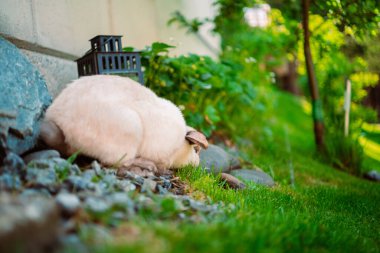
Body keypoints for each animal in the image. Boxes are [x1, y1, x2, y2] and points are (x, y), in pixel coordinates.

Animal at [40, 74, 208, 175]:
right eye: (196, 150)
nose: (197, 164)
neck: (179, 147)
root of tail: (63, 128)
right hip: (130, 128)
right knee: (116, 163)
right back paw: (147, 166)